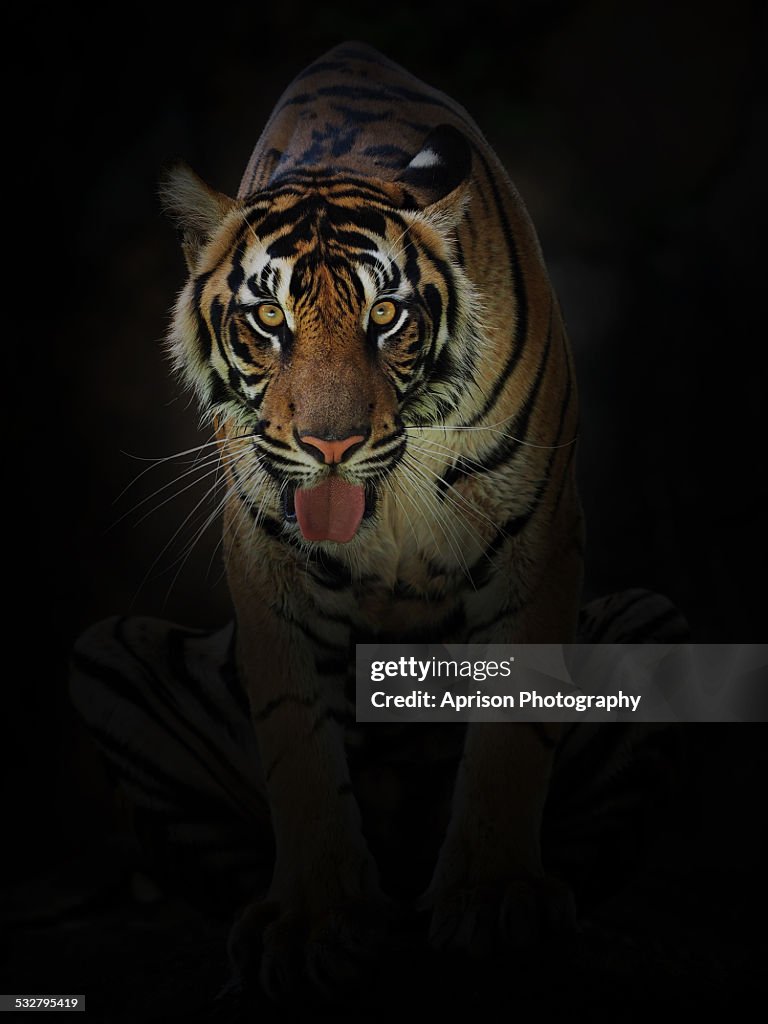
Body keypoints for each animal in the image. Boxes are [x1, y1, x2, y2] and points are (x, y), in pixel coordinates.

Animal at [69, 44, 688, 1003]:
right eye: (270, 318)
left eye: (386, 314)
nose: (332, 443)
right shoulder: (265, 556)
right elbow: (297, 739)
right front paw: (312, 921)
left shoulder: (539, 535)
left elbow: (515, 731)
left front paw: (494, 898)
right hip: (109, 655)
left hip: (653, 624)